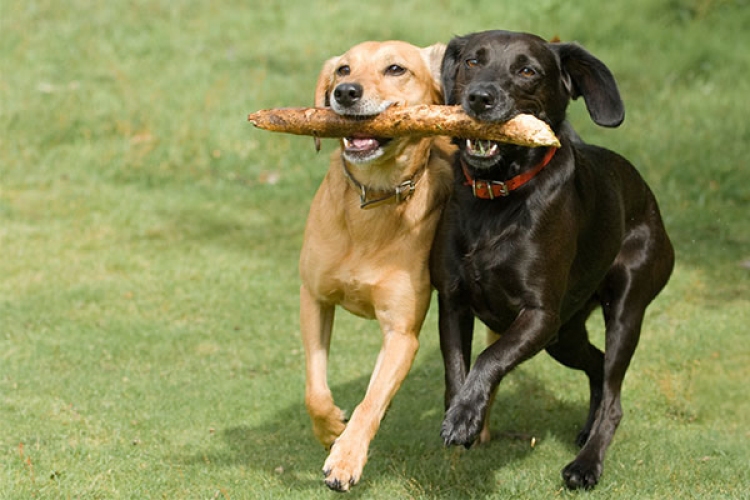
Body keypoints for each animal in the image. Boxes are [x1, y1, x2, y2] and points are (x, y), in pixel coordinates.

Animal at [432, 30, 680, 488]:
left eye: (528, 71)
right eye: (473, 62)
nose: (479, 98)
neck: (496, 198)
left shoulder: (539, 314)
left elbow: (489, 357)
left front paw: (465, 416)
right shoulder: (453, 301)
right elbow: (456, 366)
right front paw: (462, 415)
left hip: (624, 308)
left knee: (614, 396)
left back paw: (585, 464)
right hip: (564, 337)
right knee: (597, 365)